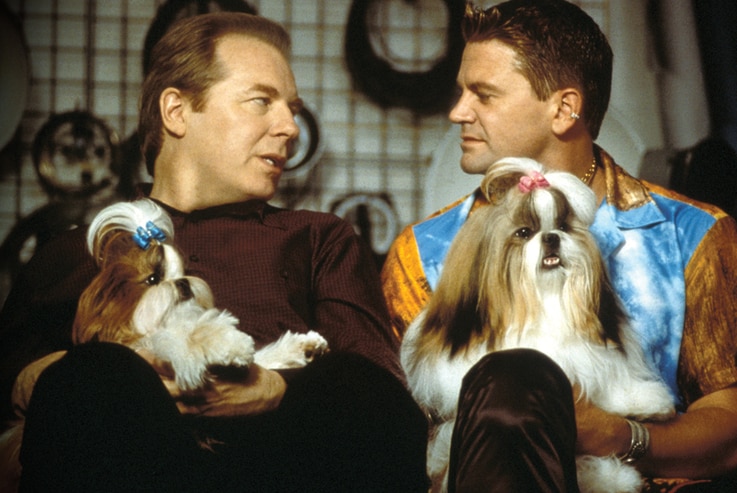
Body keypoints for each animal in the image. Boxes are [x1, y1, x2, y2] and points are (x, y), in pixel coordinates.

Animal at [402, 158, 672, 492]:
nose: (551, 237)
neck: (542, 303)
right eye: (524, 232)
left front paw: (644, 399)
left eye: (563, 227)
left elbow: (607, 378)